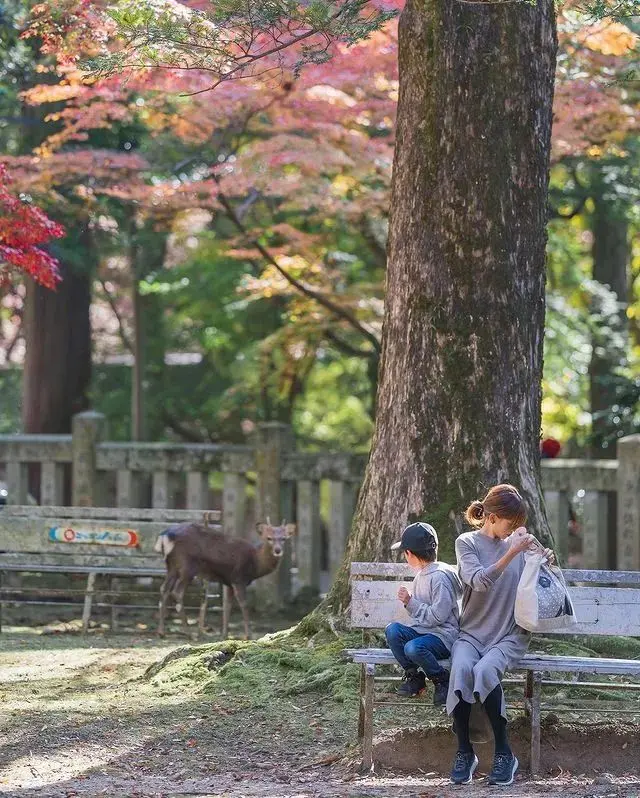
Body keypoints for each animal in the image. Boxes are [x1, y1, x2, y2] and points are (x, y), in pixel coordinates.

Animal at [154, 516, 296, 640]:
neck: (255, 564)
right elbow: (244, 604)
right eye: (269, 538)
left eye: (284, 538)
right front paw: (248, 635)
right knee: (177, 592)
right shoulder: (239, 578)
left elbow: (227, 606)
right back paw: (189, 634)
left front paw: (225, 634)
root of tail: (165, 536)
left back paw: (161, 632)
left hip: (171, 566)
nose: (277, 550)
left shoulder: (229, 581)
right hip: (187, 565)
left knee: (164, 589)